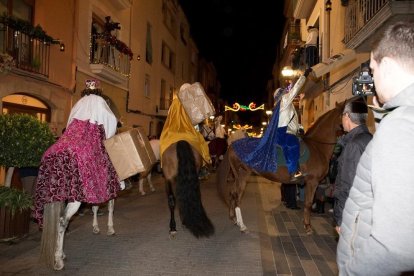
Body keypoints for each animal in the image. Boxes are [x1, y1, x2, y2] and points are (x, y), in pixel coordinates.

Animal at [217, 103, 342, 233]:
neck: (317, 147)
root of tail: (232, 145)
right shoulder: (312, 182)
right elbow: (308, 203)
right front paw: (308, 227)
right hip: (243, 175)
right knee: (237, 196)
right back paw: (242, 225)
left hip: (238, 175)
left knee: (232, 193)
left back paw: (234, 219)